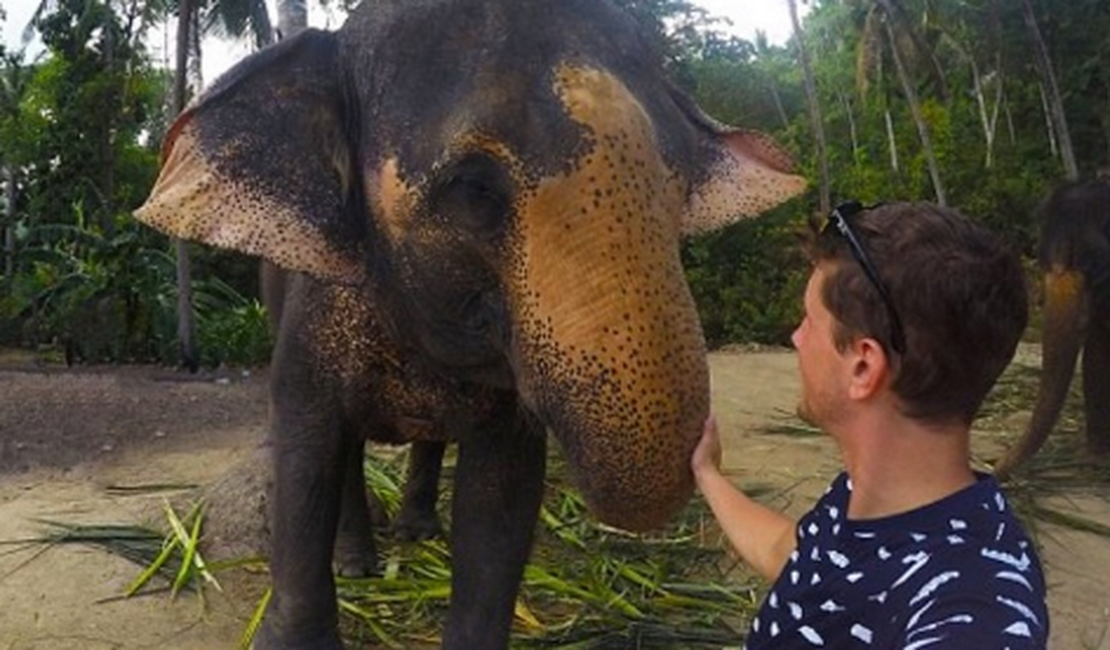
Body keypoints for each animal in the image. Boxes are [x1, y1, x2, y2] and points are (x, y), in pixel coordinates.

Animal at [136, 2, 808, 643]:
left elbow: (501, 498)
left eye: (680, 178)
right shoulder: (312, 315)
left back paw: (416, 533)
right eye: (473, 189)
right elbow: (307, 456)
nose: (706, 446)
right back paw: (359, 564)